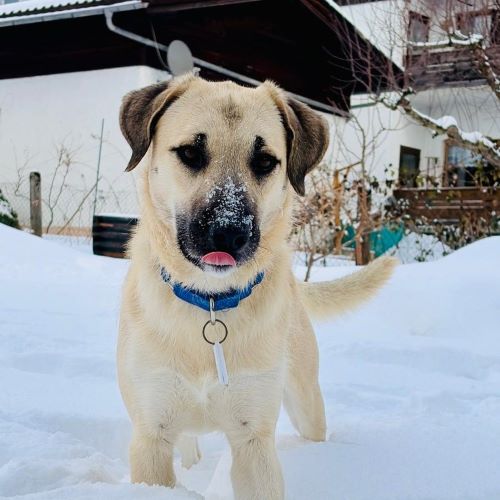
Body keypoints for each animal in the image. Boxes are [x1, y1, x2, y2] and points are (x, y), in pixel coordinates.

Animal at [117, 73, 396, 499]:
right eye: (190, 153)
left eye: (265, 161)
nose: (228, 232)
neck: (210, 302)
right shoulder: (151, 435)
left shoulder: (254, 439)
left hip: (305, 398)